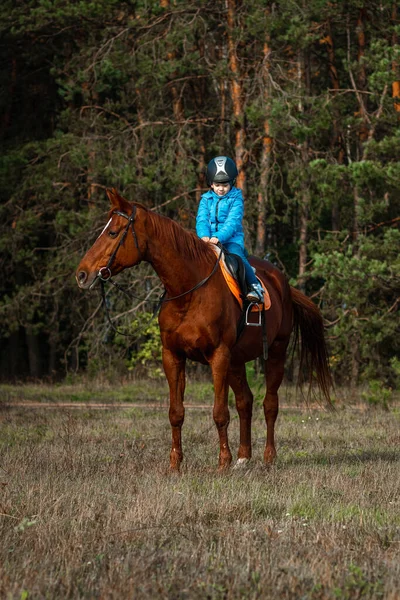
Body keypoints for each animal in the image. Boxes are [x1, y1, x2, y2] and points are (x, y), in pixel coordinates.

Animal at [75, 190, 332, 472]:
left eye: (113, 233)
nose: (82, 274)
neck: (188, 292)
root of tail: (282, 283)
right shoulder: (173, 356)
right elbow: (176, 413)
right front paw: (175, 464)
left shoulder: (218, 356)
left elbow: (220, 413)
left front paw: (223, 462)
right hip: (236, 361)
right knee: (245, 401)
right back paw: (244, 457)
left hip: (275, 352)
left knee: (270, 404)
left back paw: (268, 457)